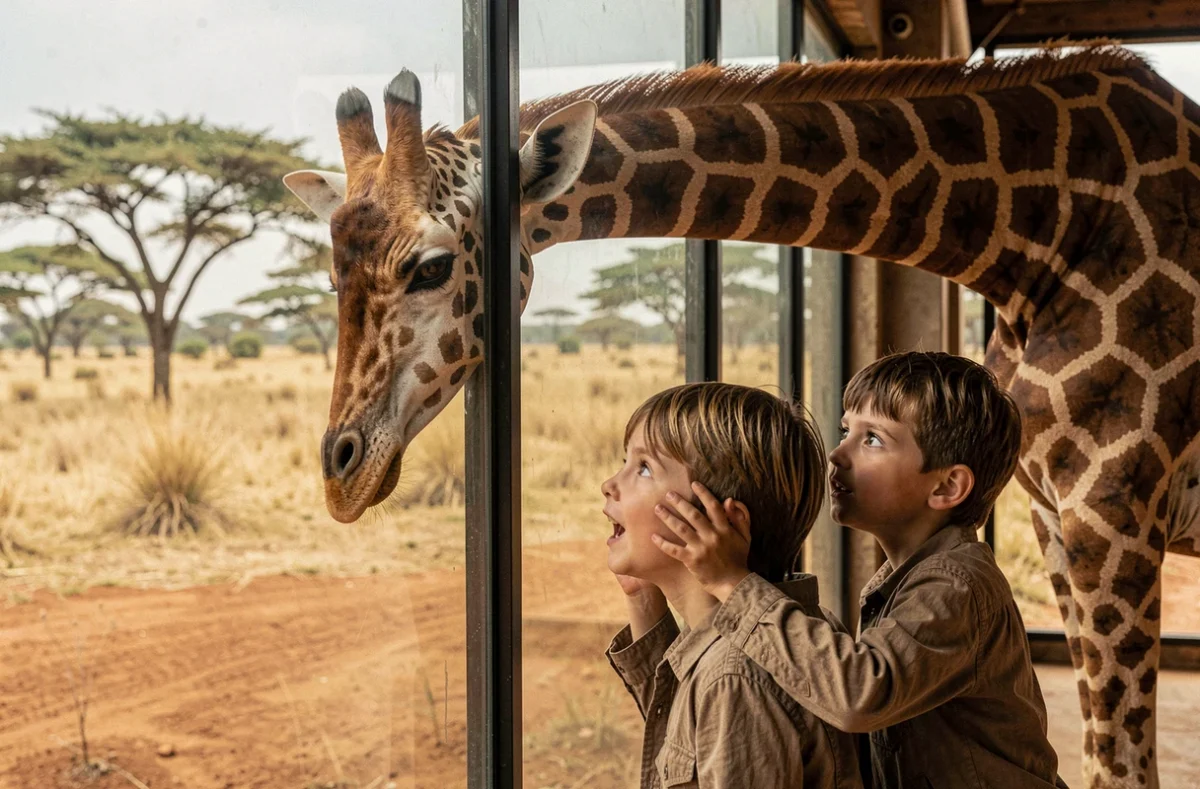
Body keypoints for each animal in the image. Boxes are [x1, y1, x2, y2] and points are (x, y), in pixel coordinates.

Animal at [282, 46, 1200, 788]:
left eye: (432, 266)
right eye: (332, 275)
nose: (342, 472)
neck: (1035, 238)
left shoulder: (1112, 503)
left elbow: (1122, 765)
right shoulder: (1054, 515)